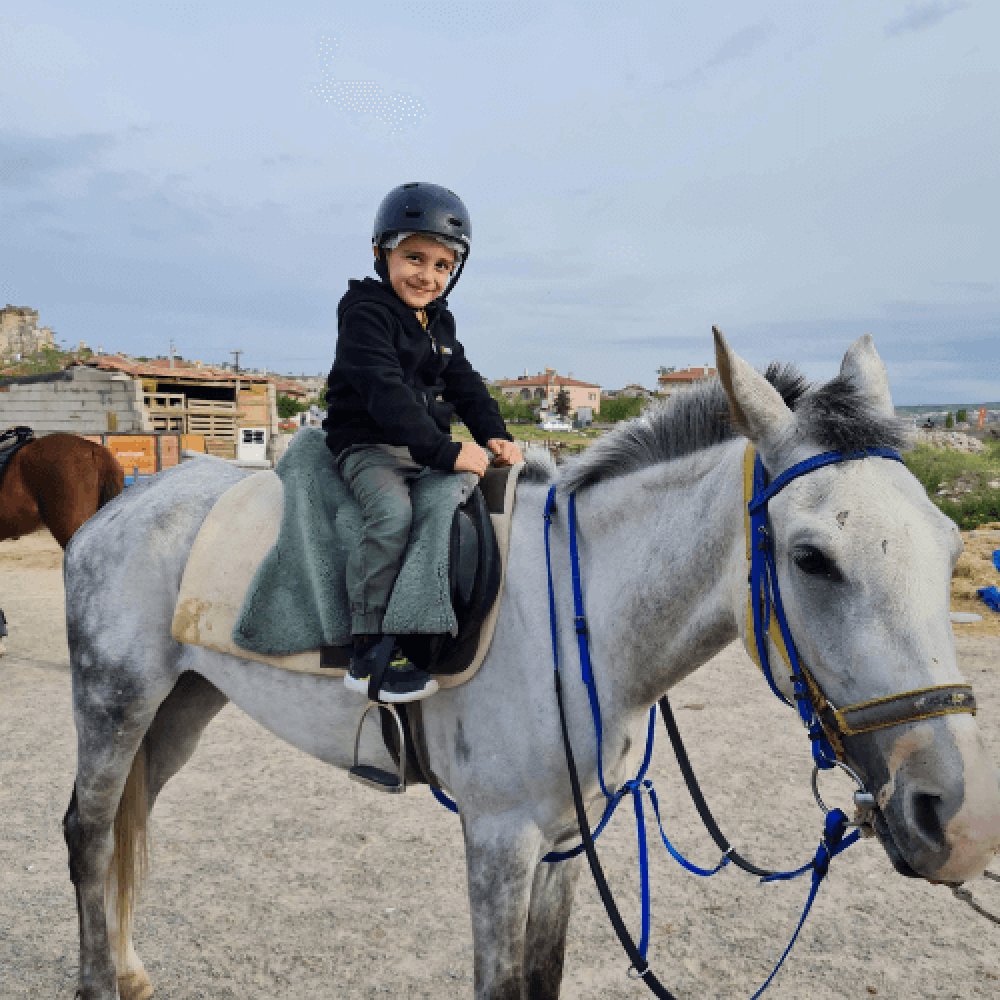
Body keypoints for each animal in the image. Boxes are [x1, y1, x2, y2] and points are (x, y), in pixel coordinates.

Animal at [61, 333, 1000, 1000]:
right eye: (810, 559)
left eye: (949, 546)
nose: (961, 823)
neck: (580, 626)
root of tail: (127, 500)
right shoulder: (497, 841)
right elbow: (502, 981)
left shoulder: (565, 839)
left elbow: (542, 977)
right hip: (116, 700)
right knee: (90, 832)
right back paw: (102, 980)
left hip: (181, 707)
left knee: (133, 821)